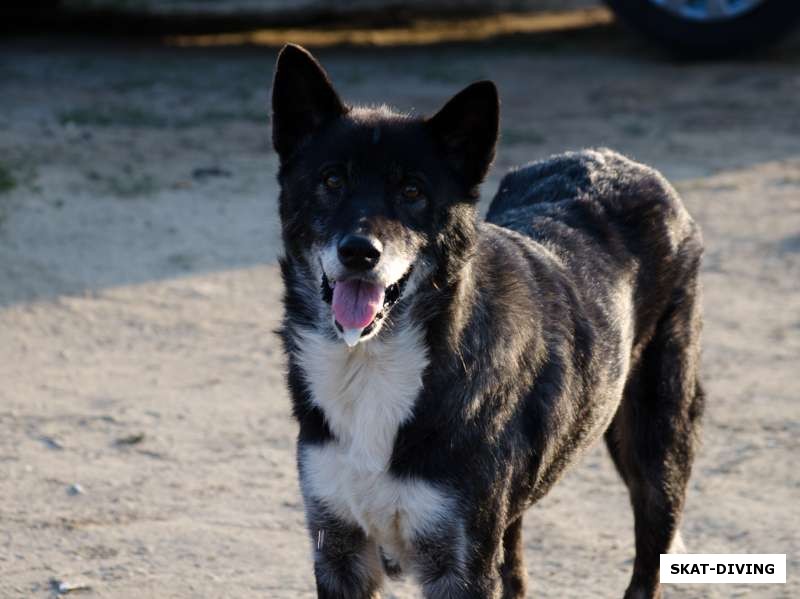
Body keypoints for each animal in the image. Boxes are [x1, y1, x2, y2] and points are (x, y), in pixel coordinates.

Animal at [272, 43, 704, 599]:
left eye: (412, 190)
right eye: (331, 179)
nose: (359, 252)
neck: (373, 363)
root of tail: (625, 162)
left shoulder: (461, 564)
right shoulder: (339, 548)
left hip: (658, 444)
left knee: (649, 556)